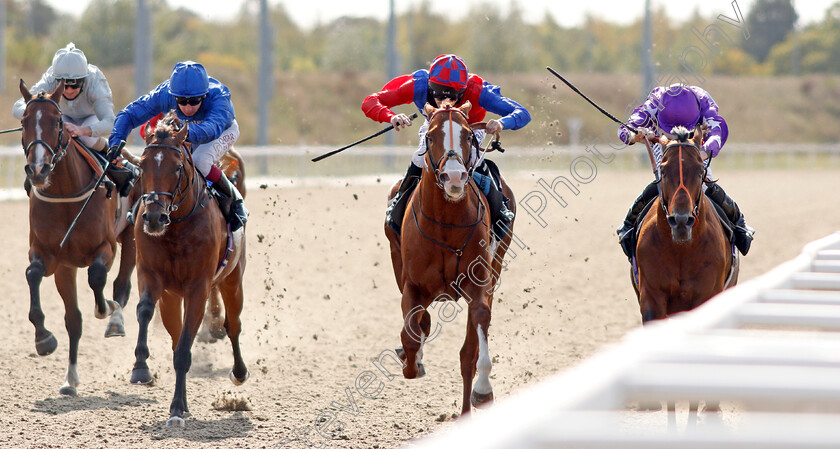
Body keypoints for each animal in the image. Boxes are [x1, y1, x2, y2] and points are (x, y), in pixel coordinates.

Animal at [19, 80, 135, 396]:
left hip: (134, 236)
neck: (65, 195)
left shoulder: (106, 247)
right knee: (74, 320)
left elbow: (97, 277)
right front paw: (43, 339)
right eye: (24, 121)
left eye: (58, 122)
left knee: (123, 284)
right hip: (66, 268)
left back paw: (115, 320)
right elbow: (32, 275)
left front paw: (106, 308)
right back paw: (69, 379)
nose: (38, 170)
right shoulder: (50, 256)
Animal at [128, 113, 246, 428]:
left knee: (233, 325)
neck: (177, 227)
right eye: (142, 166)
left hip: (232, 280)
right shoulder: (151, 275)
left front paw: (178, 409)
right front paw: (140, 368)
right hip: (171, 296)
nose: (154, 217)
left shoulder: (199, 287)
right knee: (175, 334)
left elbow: (184, 350)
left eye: (177, 166)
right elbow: (145, 311)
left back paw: (239, 372)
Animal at [386, 100, 516, 412]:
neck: (445, 223)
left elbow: (476, 335)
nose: (454, 177)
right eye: (432, 137)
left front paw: (483, 390)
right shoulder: (412, 284)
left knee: (468, 352)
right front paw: (412, 362)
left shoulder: (479, 283)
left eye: (469, 135)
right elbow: (411, 334)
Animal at [632, 125, 740, 322]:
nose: (681, 221)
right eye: (663, 170)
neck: (681, 249)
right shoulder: (652, 296)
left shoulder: (706, 295)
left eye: (700, 170)